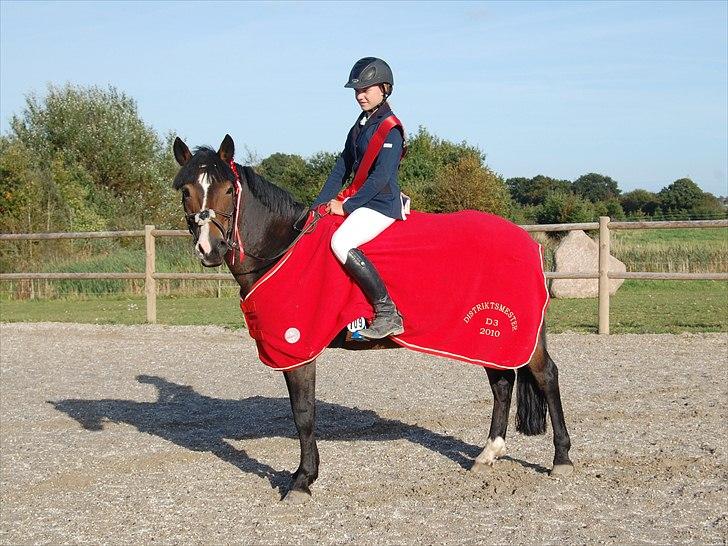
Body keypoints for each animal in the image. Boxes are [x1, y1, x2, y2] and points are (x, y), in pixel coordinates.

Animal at [171, 134, 573, 502]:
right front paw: (305, 476)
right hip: (486, 338)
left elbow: (303, 413)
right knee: (502, 384)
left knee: (546, 375)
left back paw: (562, 459)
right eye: (187, 191)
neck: (283, 247)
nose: (209, 249)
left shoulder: (298, 346)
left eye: (228, 189)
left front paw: (301, 481)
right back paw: (488, 453)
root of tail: (529, 241)